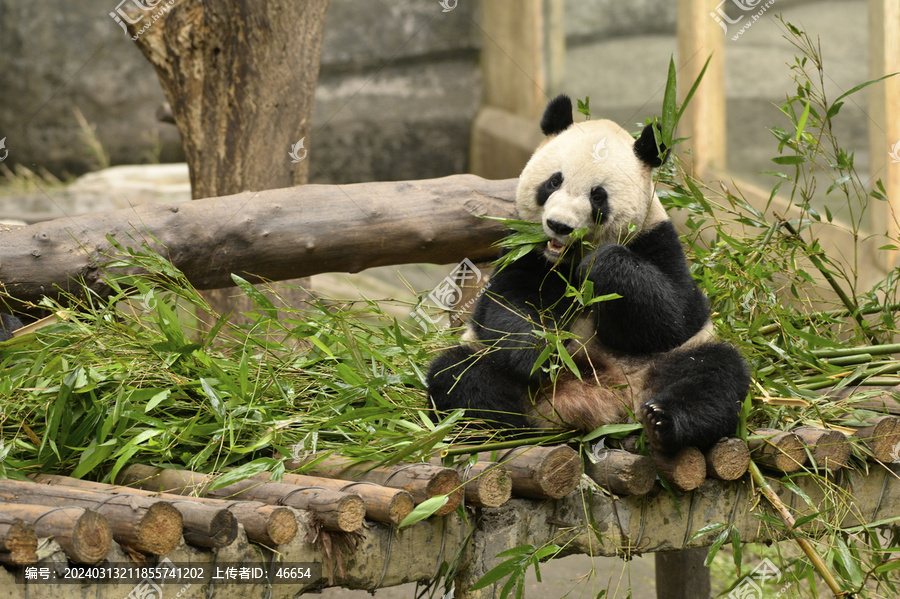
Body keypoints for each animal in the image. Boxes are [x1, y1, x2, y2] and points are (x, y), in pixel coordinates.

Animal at [426, 95, 748, 454]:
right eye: (554, 181)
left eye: (598, 195)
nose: (559, 225)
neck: (565, 258)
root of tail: (599, 408)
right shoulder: (524, 250)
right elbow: (506, 305)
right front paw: (540, 355)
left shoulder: (657, 241)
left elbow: (674, 317)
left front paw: (601, 263)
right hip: (493, 367)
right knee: (459, 375)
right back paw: (511, 427)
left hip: (665, 363)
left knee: (714, 375)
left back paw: (662, 420)